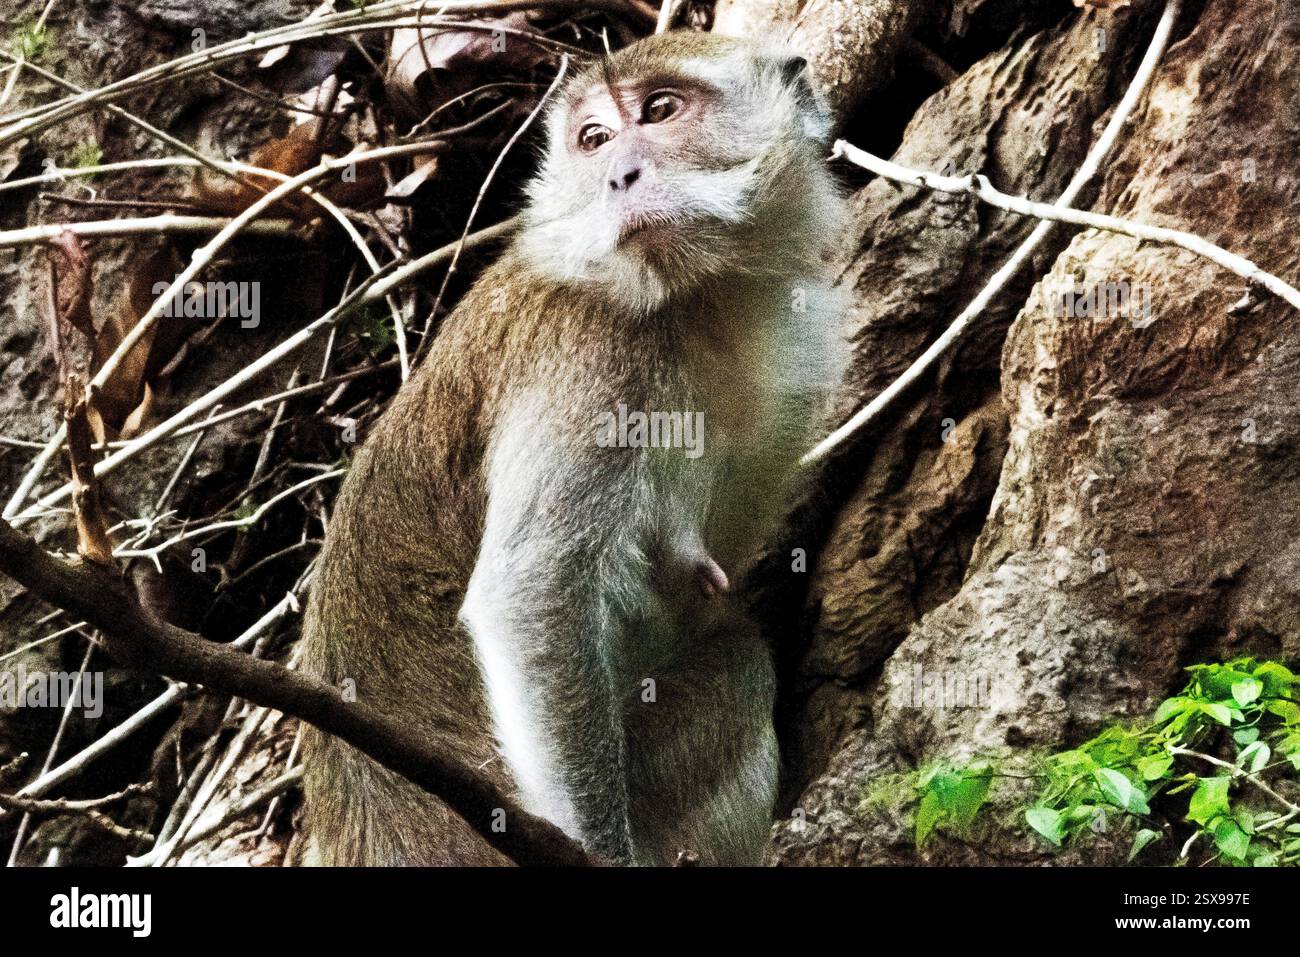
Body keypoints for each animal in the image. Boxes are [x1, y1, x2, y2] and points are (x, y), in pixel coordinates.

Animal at [299, 30, 847, 866]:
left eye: (660, 110)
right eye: (593, 140)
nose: (620, 174)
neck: (695, 301)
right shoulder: (591, 354)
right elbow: (535, 594)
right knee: (739, 668)